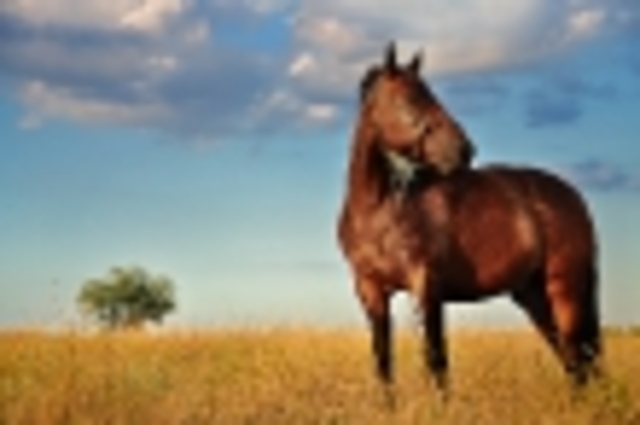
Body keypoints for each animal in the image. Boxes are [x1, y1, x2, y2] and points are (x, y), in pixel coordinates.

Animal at [337, 43, 601, 398]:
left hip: (565, 290)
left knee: (578, 360)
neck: (379, 211)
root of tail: (572, 196)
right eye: (409, 100)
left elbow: (436, 361)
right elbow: (383, 363)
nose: (464, 150)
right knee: (572, 361)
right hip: (533, 296)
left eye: (430, 94)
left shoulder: (425, 287)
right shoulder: (370, 291)